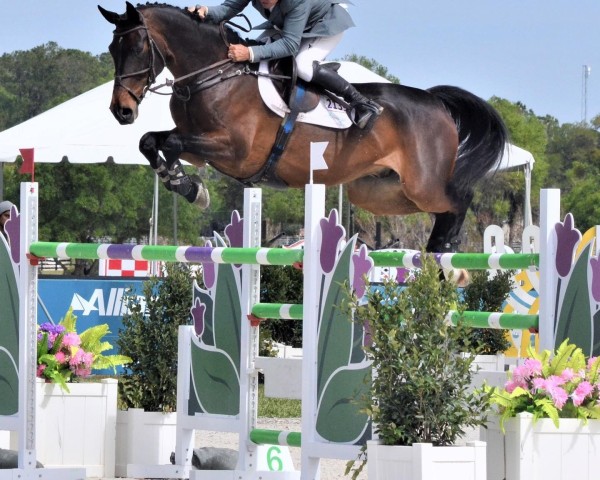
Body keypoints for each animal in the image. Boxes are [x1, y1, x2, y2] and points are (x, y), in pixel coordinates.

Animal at [97, 1, 506, 253]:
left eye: (137, 48)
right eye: (113, 49)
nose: (122, 111)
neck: (214, 76)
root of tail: (436, 103)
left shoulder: (234, 151)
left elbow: (169, 142)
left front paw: (189, 188)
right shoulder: (201, 151)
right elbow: (152, 141)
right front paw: (184, 184)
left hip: (423, 184)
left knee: (458, 200)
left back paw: (447, 250)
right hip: (379, 190)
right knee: (439, 209)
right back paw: (439, 249)